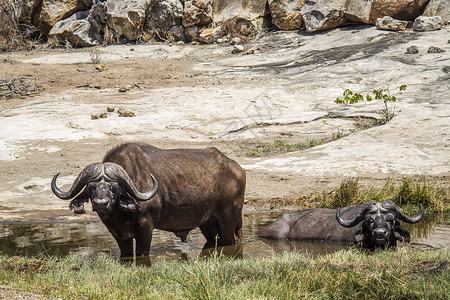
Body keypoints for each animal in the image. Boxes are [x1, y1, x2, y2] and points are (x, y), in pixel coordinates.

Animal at [51, 143, 246, 258]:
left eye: (114, 187)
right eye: (91, 187)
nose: (101, 203)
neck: (121, 215)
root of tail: (237, 169)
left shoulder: (146, 227)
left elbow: (142, 253)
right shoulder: (117, 233)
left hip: (229, 218)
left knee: (230, 241)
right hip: (207, 223)